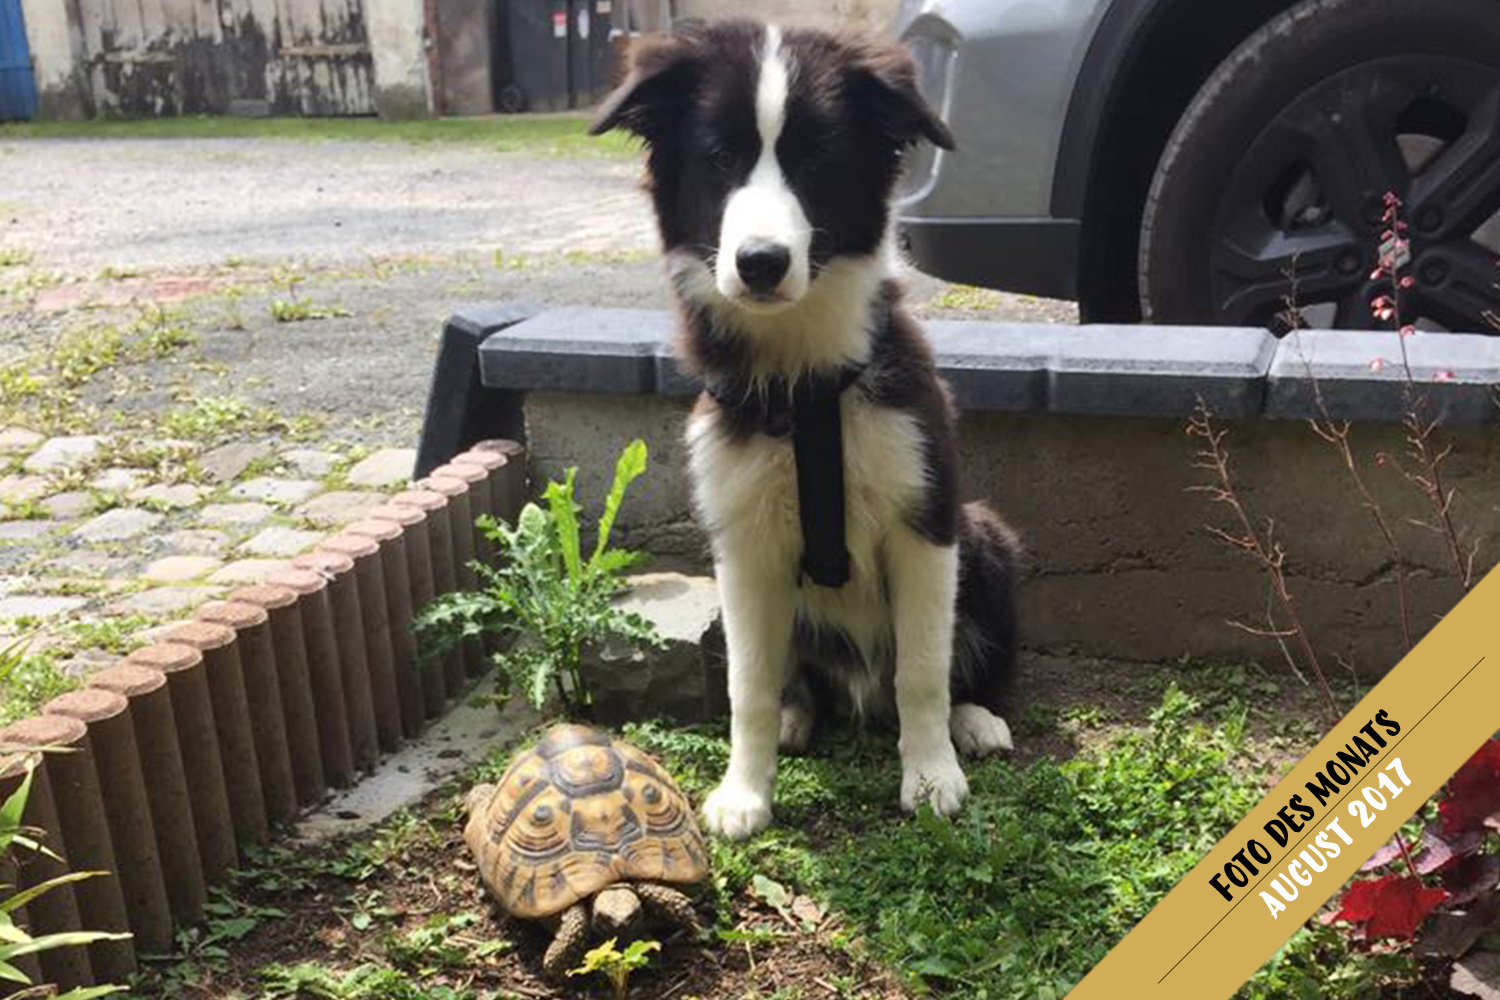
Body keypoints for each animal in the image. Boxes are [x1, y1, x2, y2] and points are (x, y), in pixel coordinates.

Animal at [591, 21, 1026, 839]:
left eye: (816, 160)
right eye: (719, 158)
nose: (760, 263)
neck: (806, 382)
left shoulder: (927, 519)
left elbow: (923, 669)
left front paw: (930, 776)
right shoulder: (742, 545)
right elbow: (749, 688)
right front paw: (745, 790)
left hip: (986, 538)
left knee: (955, 668)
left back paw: (975, 721)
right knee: (793, 680)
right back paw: (801, 716)